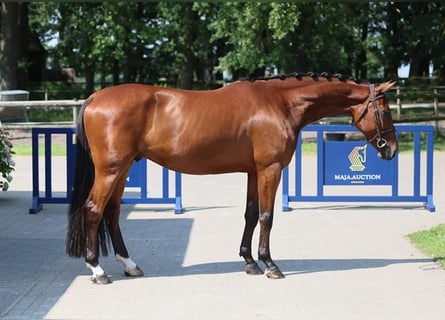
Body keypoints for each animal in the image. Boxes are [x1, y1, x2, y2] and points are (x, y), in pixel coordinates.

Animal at [65, 72, 396, 282]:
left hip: (122, 170)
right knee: (93, 211)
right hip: (111, 170)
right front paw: (270, 265)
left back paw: (130, 265)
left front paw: (249, 262)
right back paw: (97, 271)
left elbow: (250, 214)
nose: (390, 149)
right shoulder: (270, 168)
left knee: (112, 213)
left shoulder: (253, 171)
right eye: (384, 110)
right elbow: (266, 216)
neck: (280, 102)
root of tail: (94, 97)